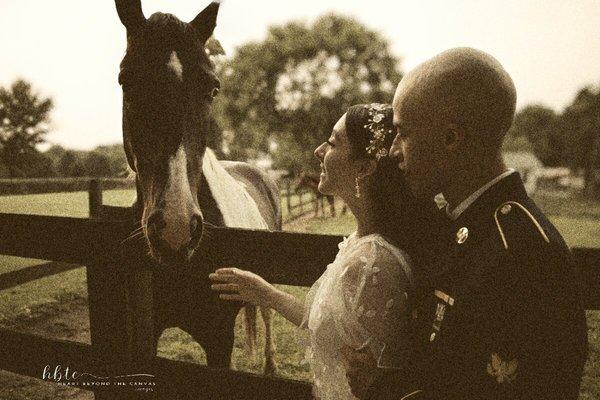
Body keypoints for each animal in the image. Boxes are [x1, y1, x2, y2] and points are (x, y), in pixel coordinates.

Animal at [115, 0, 278, 376]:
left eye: (213, 88)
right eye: (126, 81)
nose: (175, 227)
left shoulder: (218, 339)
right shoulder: (148, 334)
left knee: (266, 313)